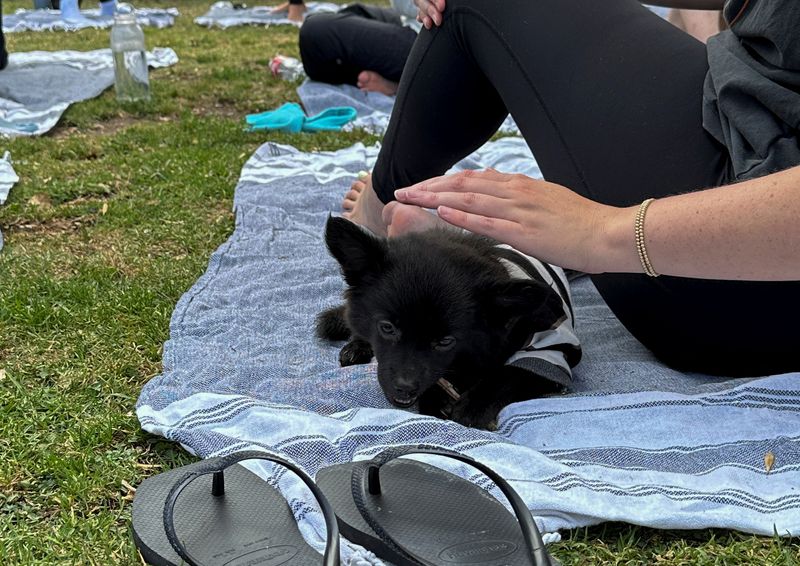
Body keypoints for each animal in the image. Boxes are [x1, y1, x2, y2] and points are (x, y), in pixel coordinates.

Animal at [316, 217, 580, 430]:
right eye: (387, 328)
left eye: (445, 342)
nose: (404, 387)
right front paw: (436, 400)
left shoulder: (551, 348)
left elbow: (513, 373)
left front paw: (473, 406)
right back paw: (356, 346)